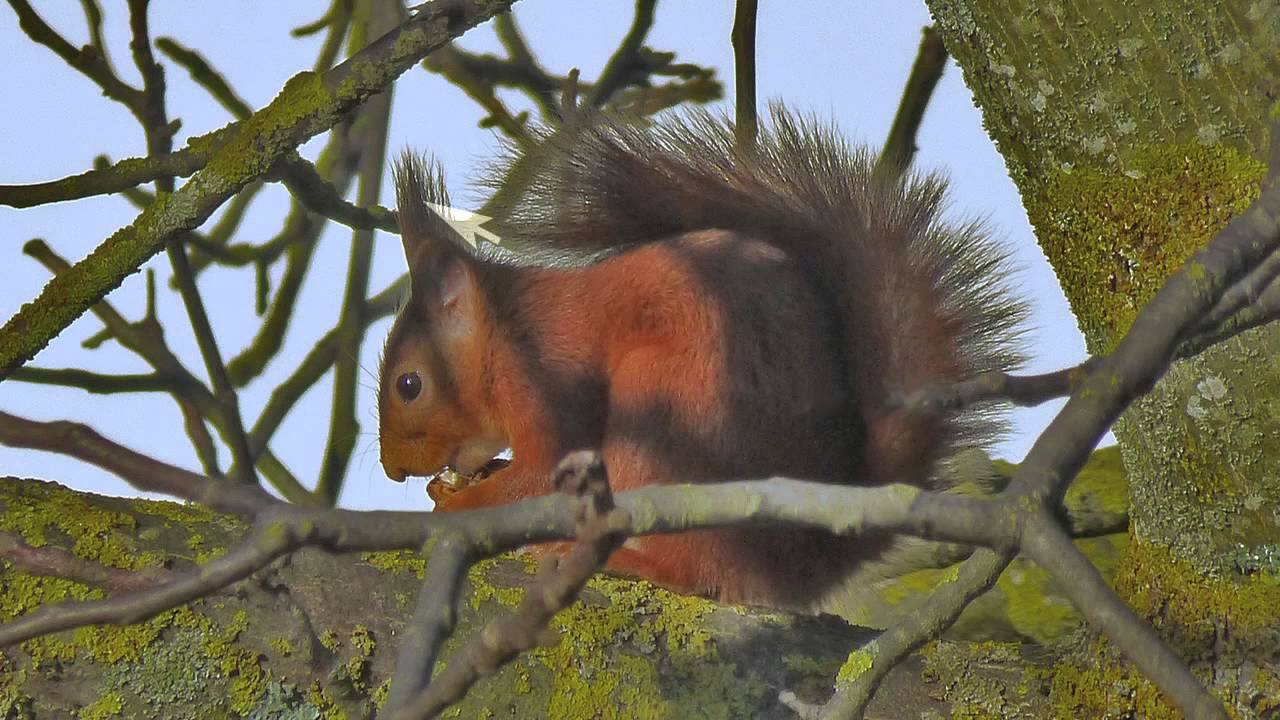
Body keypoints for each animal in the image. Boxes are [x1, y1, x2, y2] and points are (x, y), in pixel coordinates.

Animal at [378, 106, 1026, 612]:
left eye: (409, 384)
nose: (391, 470)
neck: (507, 330)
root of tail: (802, 563)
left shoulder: (546, 377)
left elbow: (537, 475)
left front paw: (457, 504)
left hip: (659, 421)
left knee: (701, 573)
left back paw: (622, 560)